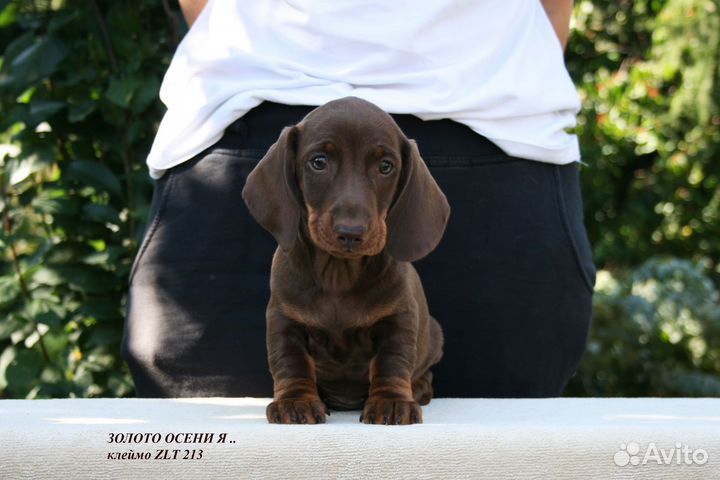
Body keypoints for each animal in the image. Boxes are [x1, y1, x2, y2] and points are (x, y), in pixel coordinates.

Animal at [245, 96, 450, 424]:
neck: (338, 274)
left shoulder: (399, 319)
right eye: (318, 162)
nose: (351, 233)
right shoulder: (283, 319)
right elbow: (291, 363)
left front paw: (392, 402)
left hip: (433, 336)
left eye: (385, 166)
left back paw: (417, 389)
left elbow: (392, 363)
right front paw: (296, 401)